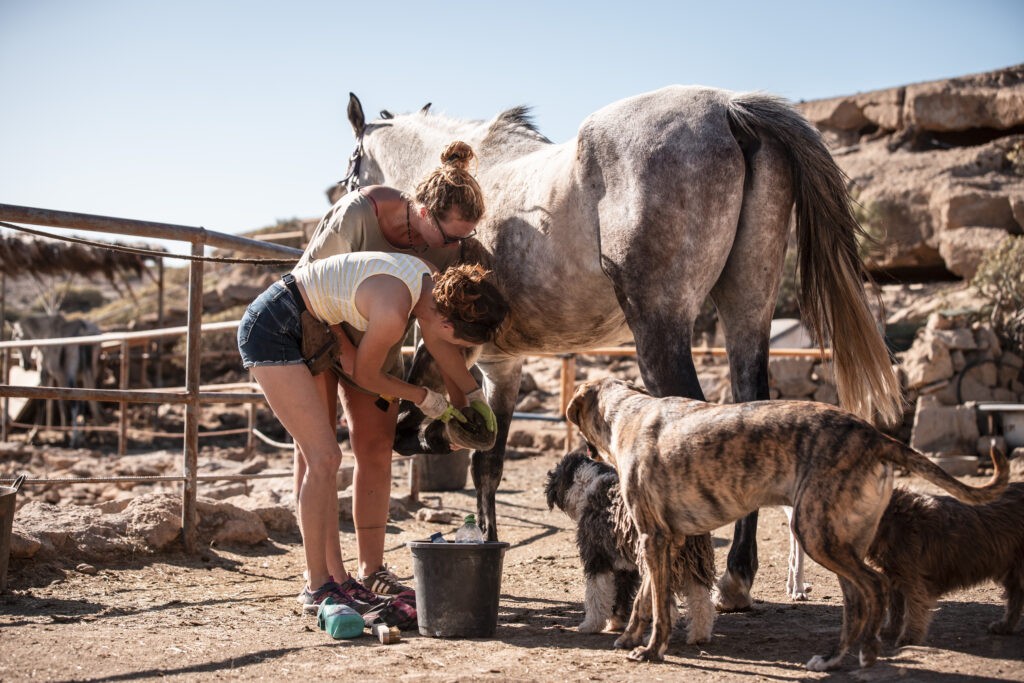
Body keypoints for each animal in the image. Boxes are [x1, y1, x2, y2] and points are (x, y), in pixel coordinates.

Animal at [332, 86, 903, 611]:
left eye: (352, 164)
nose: (339, 202)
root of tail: (729, 108)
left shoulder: (455, 348)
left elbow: (433, 433)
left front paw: (435, 440)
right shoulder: (503, 366)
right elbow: (488, 462)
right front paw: (487, 537)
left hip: (659, 326)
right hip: (747, 306)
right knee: (749, 411)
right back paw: (735, 582)